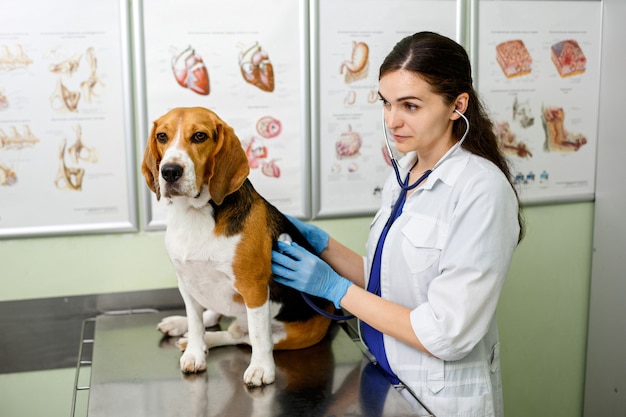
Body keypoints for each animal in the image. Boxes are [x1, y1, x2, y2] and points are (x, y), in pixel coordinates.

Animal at [142, 107, 334, 386]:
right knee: (213, 317)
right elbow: (196, 322)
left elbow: (258, 336)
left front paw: (261, 368)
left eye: (199, 136)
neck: (195, 214)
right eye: (162, 136)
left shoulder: (253, 288)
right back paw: (182, 327)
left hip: (294, 335)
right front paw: (194, 353)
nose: (169, 171)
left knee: (239, 336)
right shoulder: (186, 283)